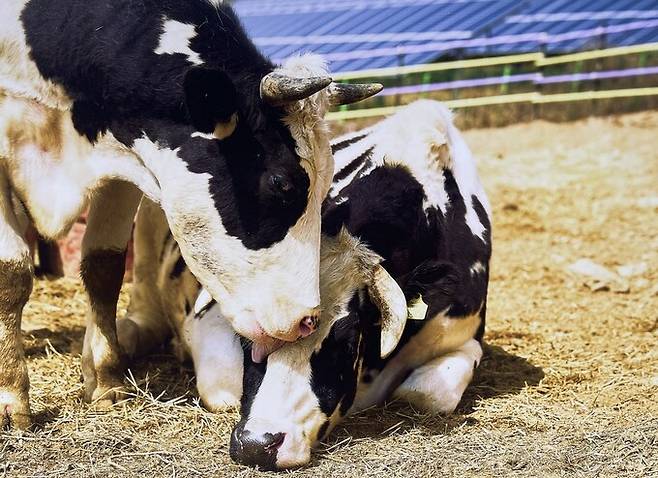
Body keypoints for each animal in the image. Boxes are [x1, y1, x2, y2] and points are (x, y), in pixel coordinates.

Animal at [0, 0, 380, 428]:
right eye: (281, 182)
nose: (306, 321)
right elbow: (11, 274)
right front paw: (12, 396)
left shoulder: (120, 159)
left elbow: (104, 270)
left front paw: (106, 380)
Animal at [128, 101, 490, 470]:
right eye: (250, 340)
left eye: (347, 340)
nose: (256, 445)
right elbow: (225, 387)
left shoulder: (464, 337)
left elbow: (427, 395)